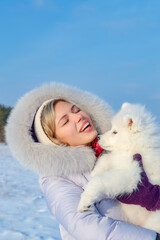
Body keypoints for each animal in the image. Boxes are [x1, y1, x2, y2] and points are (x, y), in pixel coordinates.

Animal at [78, 102, 160, 232]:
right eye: (112, 129)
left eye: (115, 132)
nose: (99, 137)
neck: (134, 146)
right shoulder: (118, 159)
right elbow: (106, 159)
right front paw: (96, 171)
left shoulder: (133, 173)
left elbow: (99, 180)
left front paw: (84, 202)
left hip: (154, 219)